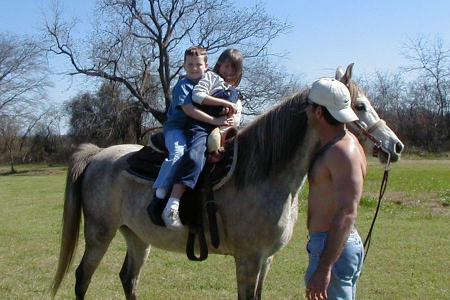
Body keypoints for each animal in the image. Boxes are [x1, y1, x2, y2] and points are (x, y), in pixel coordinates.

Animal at [51, 63, 404, 300]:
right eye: (359, 106)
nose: (396, 146)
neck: (264, 175)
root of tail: (98, 154)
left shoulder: (266, 260)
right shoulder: (248, 260)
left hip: (137, 235)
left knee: (128, 278)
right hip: (100, 233)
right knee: (82, 277)